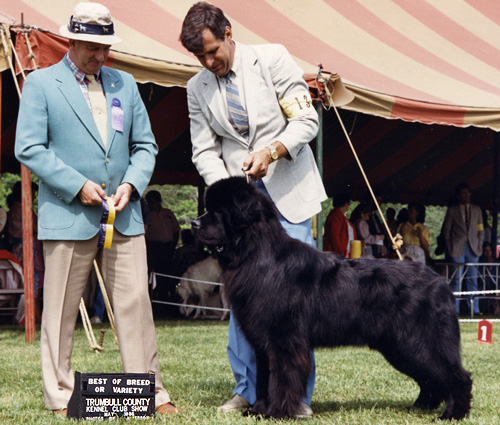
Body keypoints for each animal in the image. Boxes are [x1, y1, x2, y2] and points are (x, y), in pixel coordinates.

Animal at [191, 176, 472, 420]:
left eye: (218, 211)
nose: (193, 224)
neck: (257, 254)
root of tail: (441, 282)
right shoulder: (263, 343)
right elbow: (263, 379)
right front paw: (258, 411)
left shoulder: (283, 340)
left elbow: (281, 377)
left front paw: (277, 413)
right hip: (400, 346)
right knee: (431, 377)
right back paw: (422, 406)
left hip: (418, 341)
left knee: (457, 375)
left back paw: (452, 414)